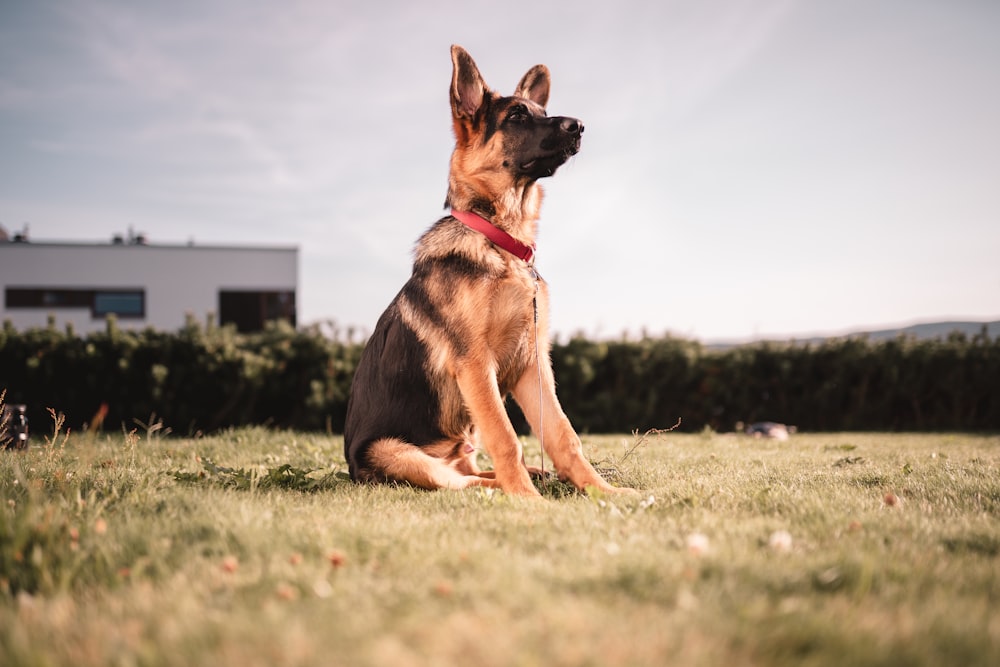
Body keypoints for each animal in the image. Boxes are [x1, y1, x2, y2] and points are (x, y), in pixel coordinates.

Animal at [342, 45, 624, 496]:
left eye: (542, 111)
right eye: (517, 116)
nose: (580, 126)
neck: (503, 242)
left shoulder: (533, 364)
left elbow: (564, 435)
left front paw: (604, 491)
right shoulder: (475, 363)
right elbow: (508, 438)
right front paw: (530, 501)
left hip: (464, 441)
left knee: (471, 470)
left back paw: (538, 476)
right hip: (393, 451)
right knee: (461, 482)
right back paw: (513, 487)